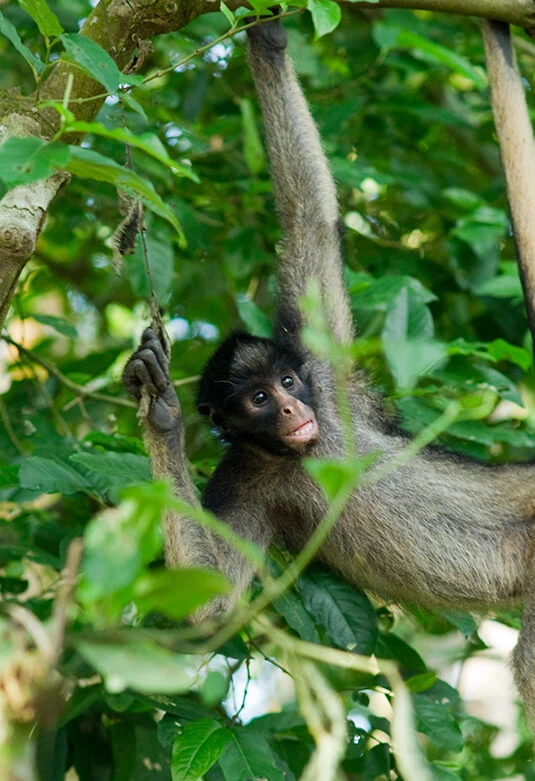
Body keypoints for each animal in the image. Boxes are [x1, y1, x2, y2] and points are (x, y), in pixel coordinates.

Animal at [124, 16, 535, 724]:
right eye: (258, 400)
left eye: (286, 384)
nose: (293, 409)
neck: (297, 450)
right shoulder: (244, 475)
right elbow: (212, 605)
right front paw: (162, 416)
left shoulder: (325, 373)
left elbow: (310, 218)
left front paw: (266, 37)